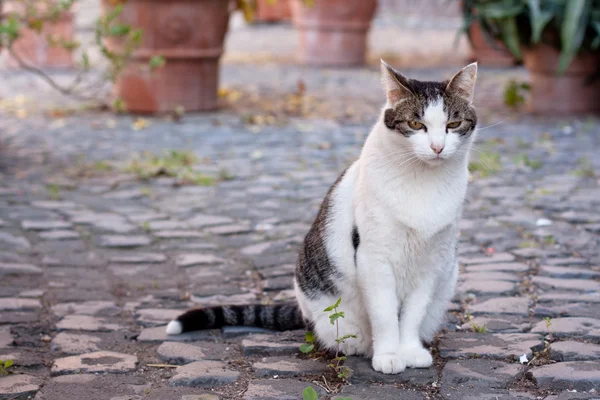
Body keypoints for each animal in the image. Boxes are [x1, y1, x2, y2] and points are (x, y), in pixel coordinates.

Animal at [168, 60, 478, 376]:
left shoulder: (431, 262)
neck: (423, 182)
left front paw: (410, 350)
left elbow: (413, 314)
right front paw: (389, 354)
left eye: (453, 125)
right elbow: (384, 314)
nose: (438, 147)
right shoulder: (373, 258)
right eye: (416, 124)